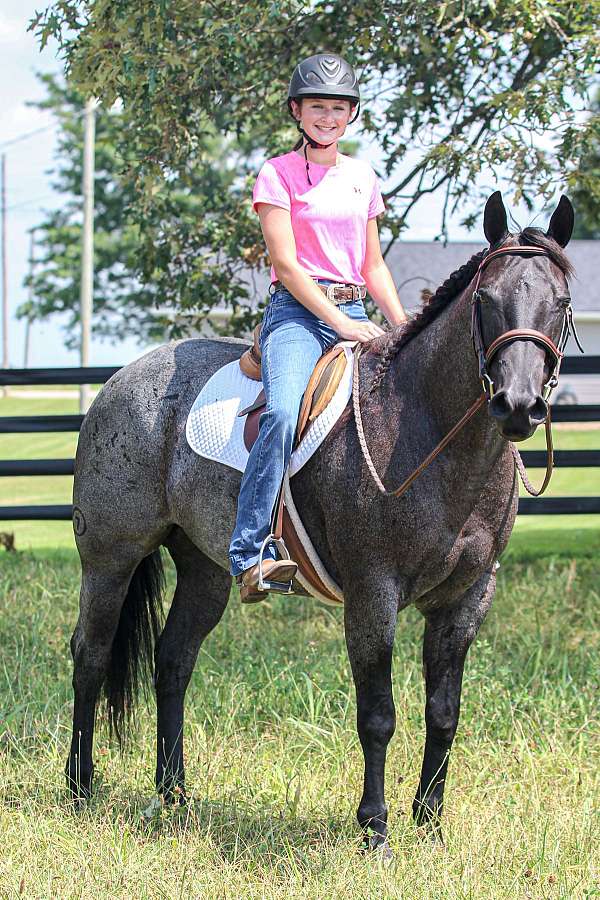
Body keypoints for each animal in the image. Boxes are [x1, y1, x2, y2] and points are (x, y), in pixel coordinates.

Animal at [66, 191, 575, 853]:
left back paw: (173, 794)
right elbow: (378, 715)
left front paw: (430, 823)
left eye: (559, 302)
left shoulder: (468, 598)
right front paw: (375, 829)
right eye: (486, 299)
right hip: (110, 557)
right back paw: (80, 788)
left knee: (173, 660)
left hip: (204, 568)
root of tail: (119, 383)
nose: (517, 404)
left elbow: (444, 712)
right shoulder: (372, 594)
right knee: (91, 655)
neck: (422, 430)